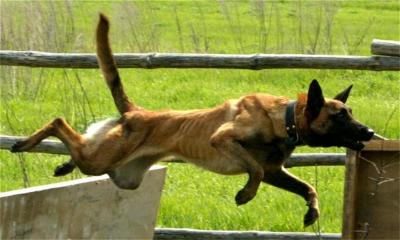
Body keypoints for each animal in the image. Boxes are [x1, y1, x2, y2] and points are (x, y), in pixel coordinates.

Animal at [11, 13, 376, 227]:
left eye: (351, 113)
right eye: (339, 115)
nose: (370, 131)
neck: (284, 118)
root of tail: (137, 111)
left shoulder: (276, 171)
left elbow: (305, 186)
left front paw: (312, 211)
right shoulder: (224, 140)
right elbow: (254, 170)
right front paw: (245, 195)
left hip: (121, 174)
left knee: (78, 144)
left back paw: (64, 166)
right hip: (101, 160)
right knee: (59, 122)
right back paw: (24, 143)